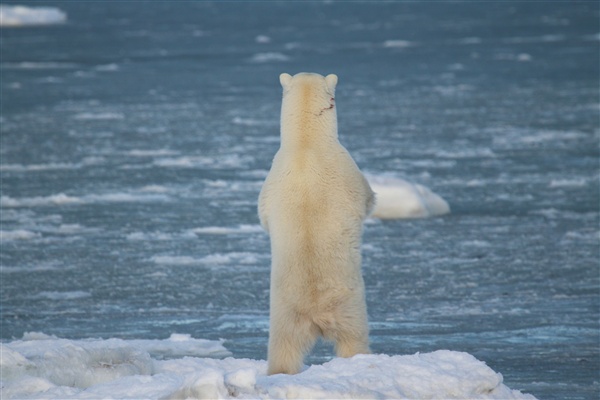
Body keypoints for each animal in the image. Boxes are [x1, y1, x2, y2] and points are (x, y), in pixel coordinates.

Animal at [258, 72, 376, 376]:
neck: (306, 144)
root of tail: (315, 316)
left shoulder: (270, 180)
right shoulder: (347, 168)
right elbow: (367, 198)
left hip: (283, 316)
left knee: (283, 349)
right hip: (349, 306)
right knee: (353, 340)